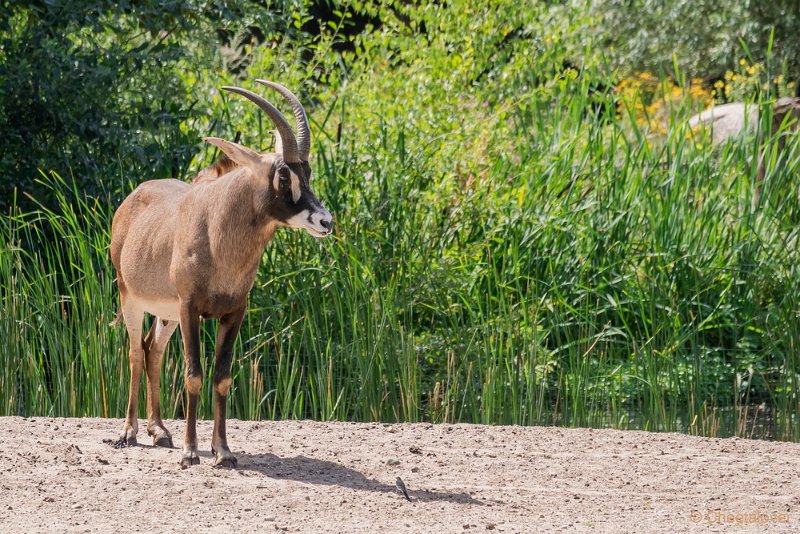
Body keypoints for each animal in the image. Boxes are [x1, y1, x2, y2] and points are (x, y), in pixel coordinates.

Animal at [110, 79, 332, 468]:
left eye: (307, 173)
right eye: (284, 175)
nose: (325, 221)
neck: (217, 232)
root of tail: (132, 199)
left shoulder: (234, 312)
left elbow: (223, 377)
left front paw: (223, 451)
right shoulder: (190, 309)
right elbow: (194, 375)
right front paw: (190, 451)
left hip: (167, 314)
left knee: (153, 350)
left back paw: (159, 431)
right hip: (132, 299)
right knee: (136, 353)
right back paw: (130, 432)